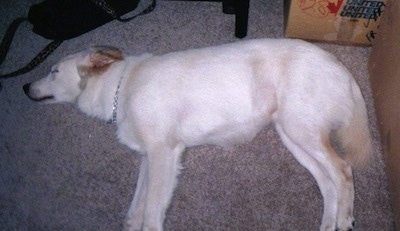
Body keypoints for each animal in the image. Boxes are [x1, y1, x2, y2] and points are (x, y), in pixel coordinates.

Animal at [22, 38, 372, 230]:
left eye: (54, 71)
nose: (24, 86)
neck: (123, 86)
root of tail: (338, 65)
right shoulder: (150, 158)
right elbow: (135, 214)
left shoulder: (163, 152)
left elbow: (151, 215)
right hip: (294, 137)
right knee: (328, 184)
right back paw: (329, 223)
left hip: (301, 130)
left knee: (343, 172)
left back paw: (345, 219)